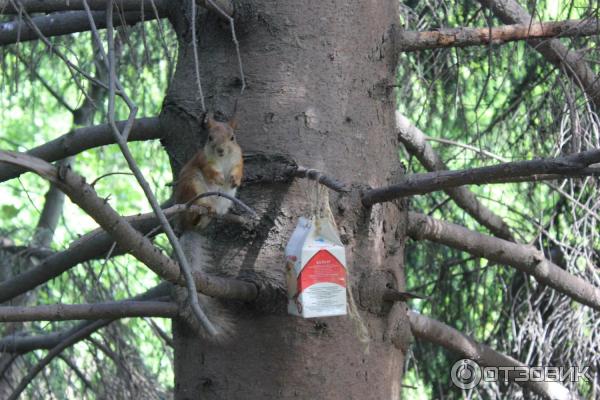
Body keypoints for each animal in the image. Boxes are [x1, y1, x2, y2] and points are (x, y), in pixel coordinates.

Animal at [172, 112, 243, 340]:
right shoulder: (203, 161)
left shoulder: (239, 157)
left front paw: (233, 178)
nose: (220, 150)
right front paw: (219, 177)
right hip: (192, 185)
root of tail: (187, 226)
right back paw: (203, 209)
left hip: (226, 199)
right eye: (210, 137)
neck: (223, 159)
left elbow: (239, 169)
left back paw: (217, 214)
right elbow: (210, 170)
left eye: (232, 138)